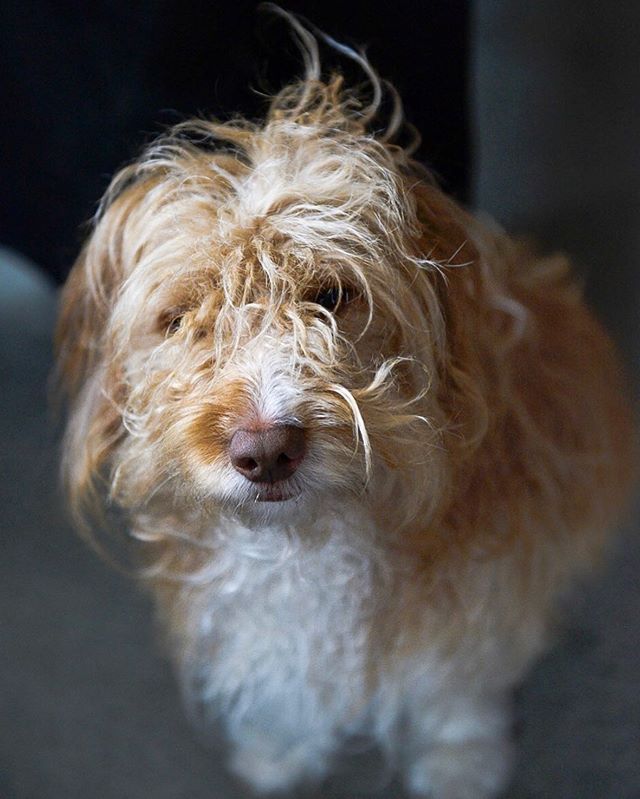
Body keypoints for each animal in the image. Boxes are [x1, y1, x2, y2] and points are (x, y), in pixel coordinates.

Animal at [55, 14, 636, 799]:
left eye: (331, 295)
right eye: (181, 319)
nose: (265, 449)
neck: (308, 543)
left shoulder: (479, 597)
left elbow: (455, 690)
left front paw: (459, 767)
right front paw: (276, 750)